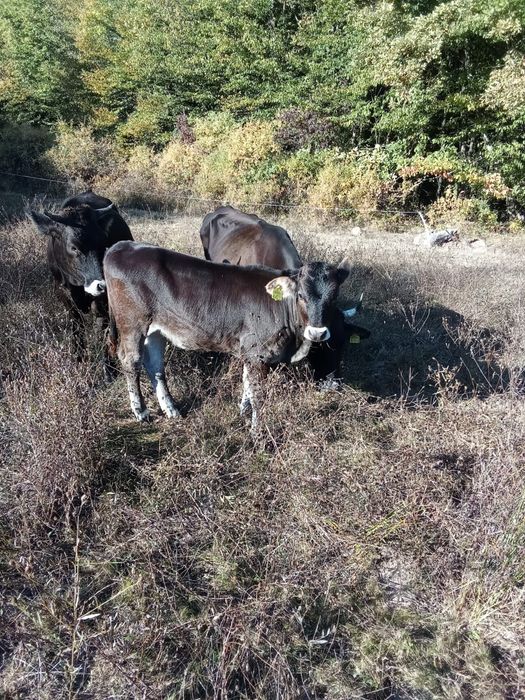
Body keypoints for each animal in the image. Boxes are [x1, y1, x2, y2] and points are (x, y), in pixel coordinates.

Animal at [29, 191, 133, 377]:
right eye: (74, 247)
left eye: (103, 244)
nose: (102, 285)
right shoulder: (64, 296)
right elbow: (76, 329)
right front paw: (78, 361)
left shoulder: (101, 302)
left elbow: (102, 331)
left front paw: (108, 369)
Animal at [104, 240, 351, 430]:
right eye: (300, 295)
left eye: (334, 296)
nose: (318, 332)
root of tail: (121, 246)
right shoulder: (257, 353)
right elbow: (258, 393)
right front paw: (257, 430)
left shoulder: (251, 352)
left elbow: (247, 384)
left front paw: (244, 412)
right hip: (132, 323)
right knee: (131, 361)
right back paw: (141, 411)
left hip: (156, 328)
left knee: (154, 364)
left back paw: (171, 409)